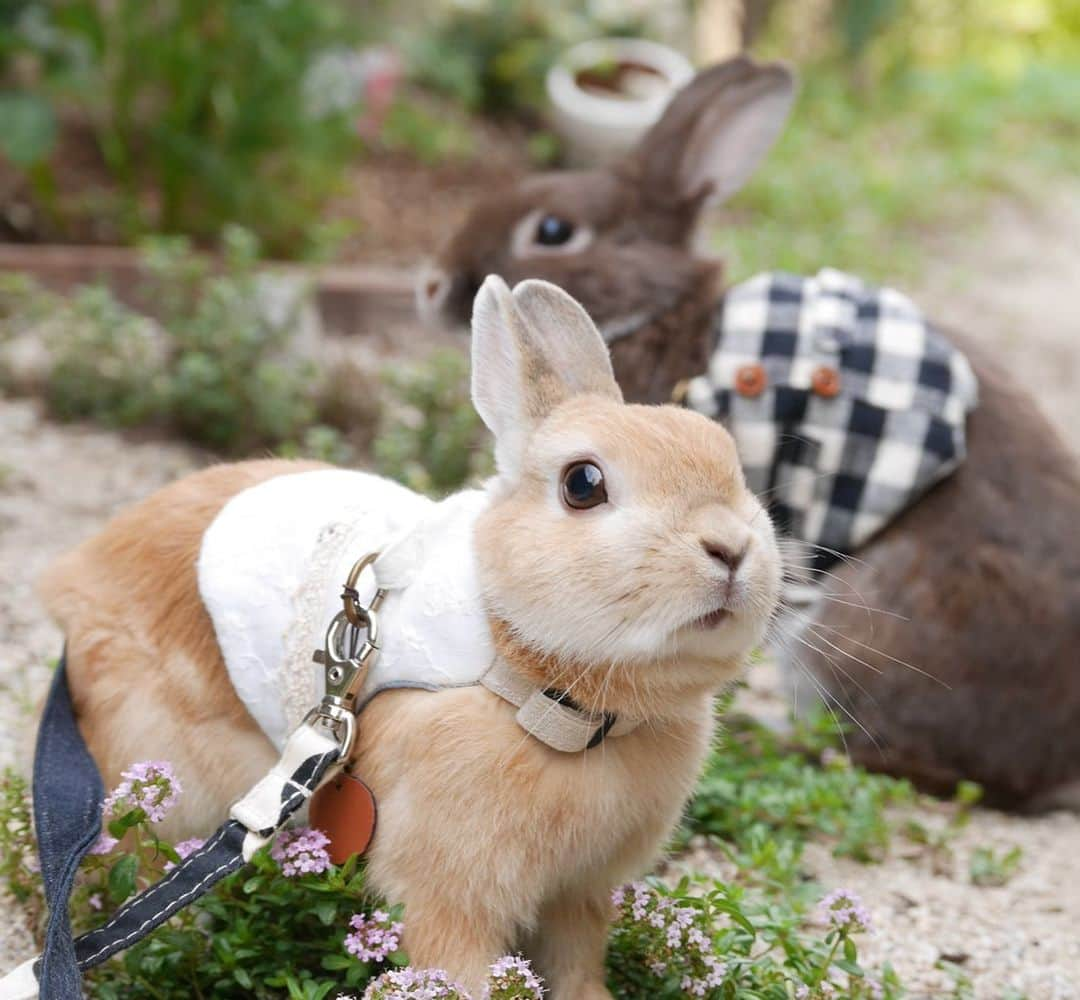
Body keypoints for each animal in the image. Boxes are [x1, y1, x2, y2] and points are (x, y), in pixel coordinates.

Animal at [38, 276, 781, 1000]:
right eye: (583, 483)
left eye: (730, 462)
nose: (732, 548)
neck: (547, 697)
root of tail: (75, 582)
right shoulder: (447, 885)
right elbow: (459, 962)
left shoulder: (579, 894)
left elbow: (576, 963)